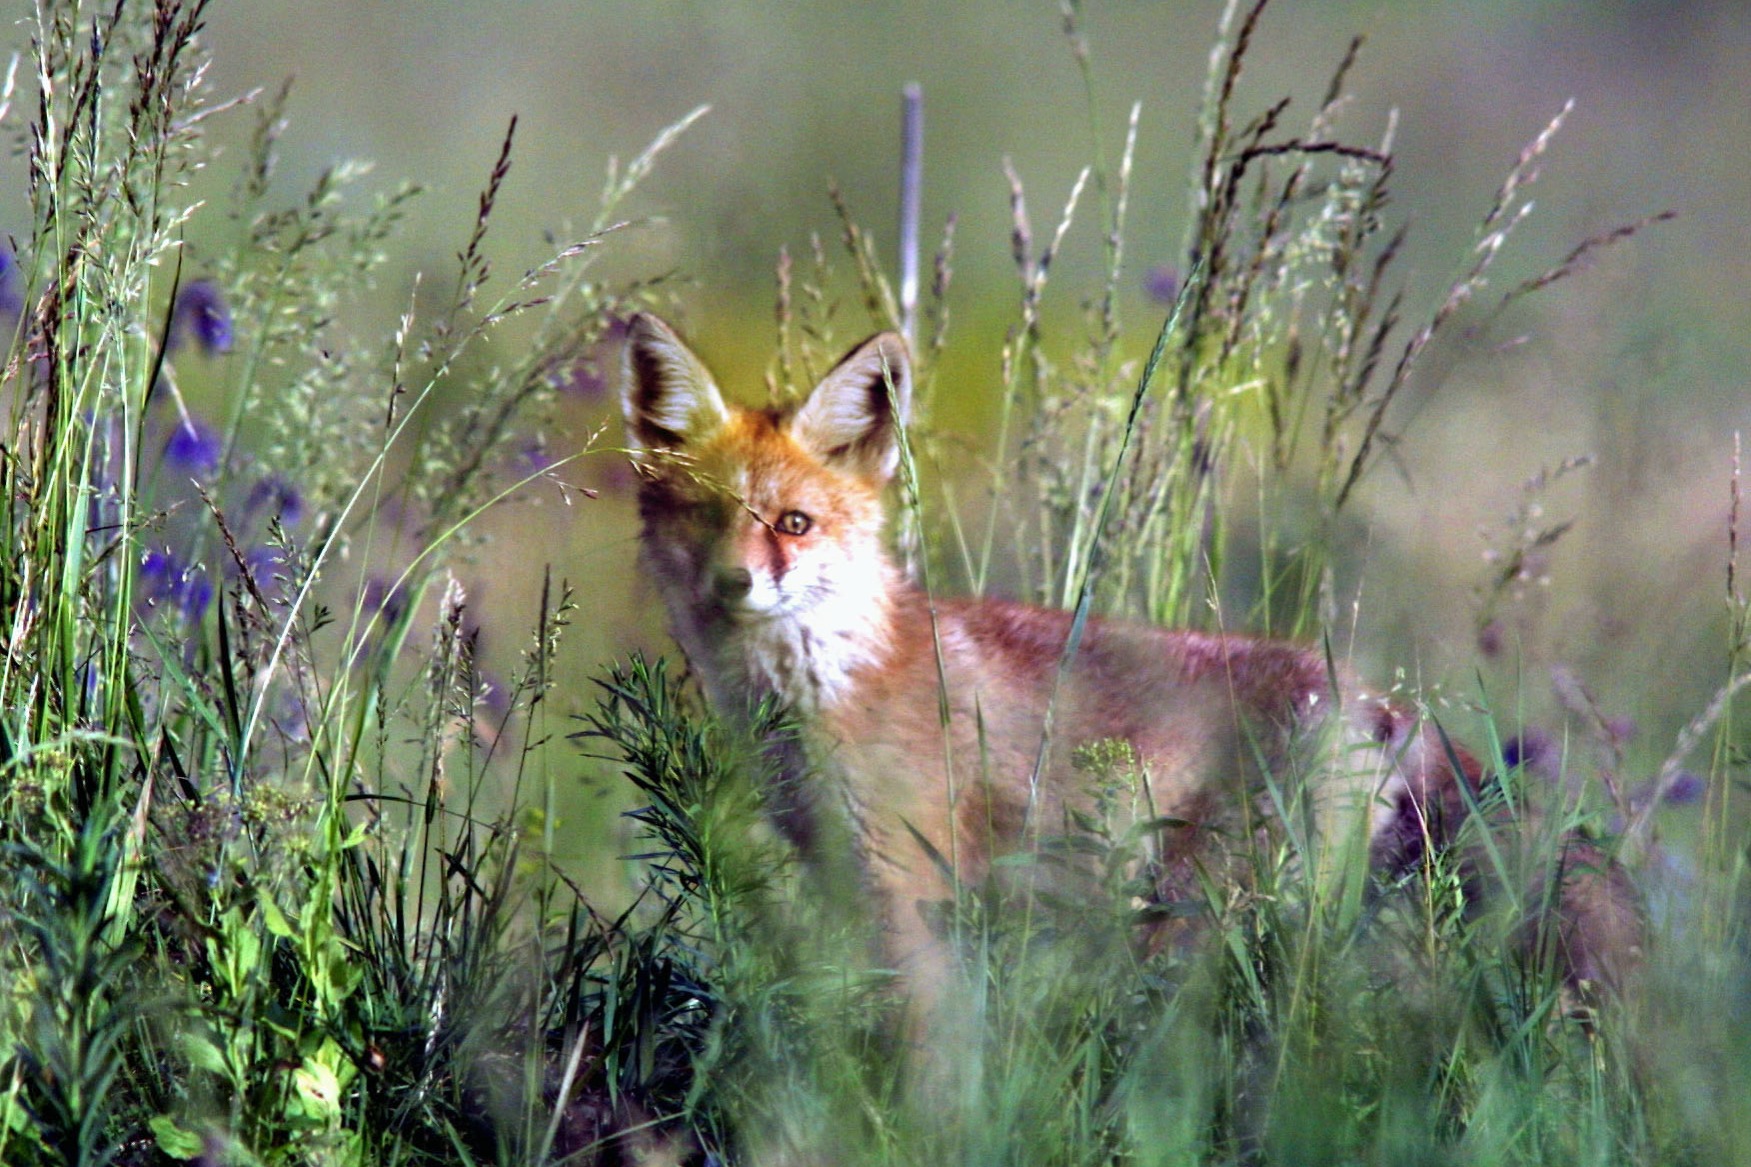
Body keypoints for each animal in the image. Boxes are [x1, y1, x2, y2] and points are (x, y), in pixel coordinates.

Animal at [619, 313, 1638, 1002]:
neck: (825, 689)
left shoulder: (910, 888)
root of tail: (1384, 704)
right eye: (702, 517)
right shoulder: (843, 872)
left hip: (1207, 923)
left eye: (792, 523)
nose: (734, 583)